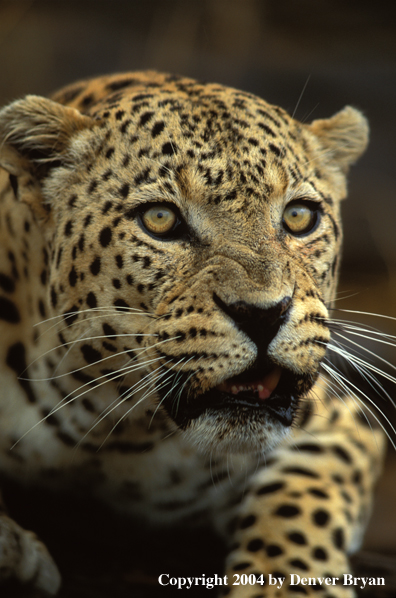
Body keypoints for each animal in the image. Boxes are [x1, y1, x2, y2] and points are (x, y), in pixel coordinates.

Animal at [0, 72, 386, 596]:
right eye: (160, 219)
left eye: (299, 216)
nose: (263, 314)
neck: (116, 430)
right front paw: (18, 554)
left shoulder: (336, 423)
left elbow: (303, 498)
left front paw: (286, 584)